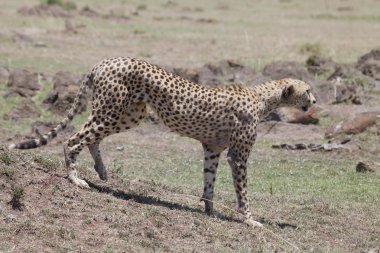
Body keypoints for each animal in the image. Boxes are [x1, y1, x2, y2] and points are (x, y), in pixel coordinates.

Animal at [9, 57, 318, 227]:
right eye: (308, 91)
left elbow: (209, 182)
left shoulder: (212, 149)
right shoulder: (237, 156)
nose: (315, 101)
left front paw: (210, 210)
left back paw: (102, 171)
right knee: (73, 138)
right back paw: (75, 178)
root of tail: (106, 61)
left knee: (91, 137)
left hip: (128, 114)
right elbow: (242, 192)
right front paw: (249, 219)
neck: (265, 97)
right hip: (114, 111)